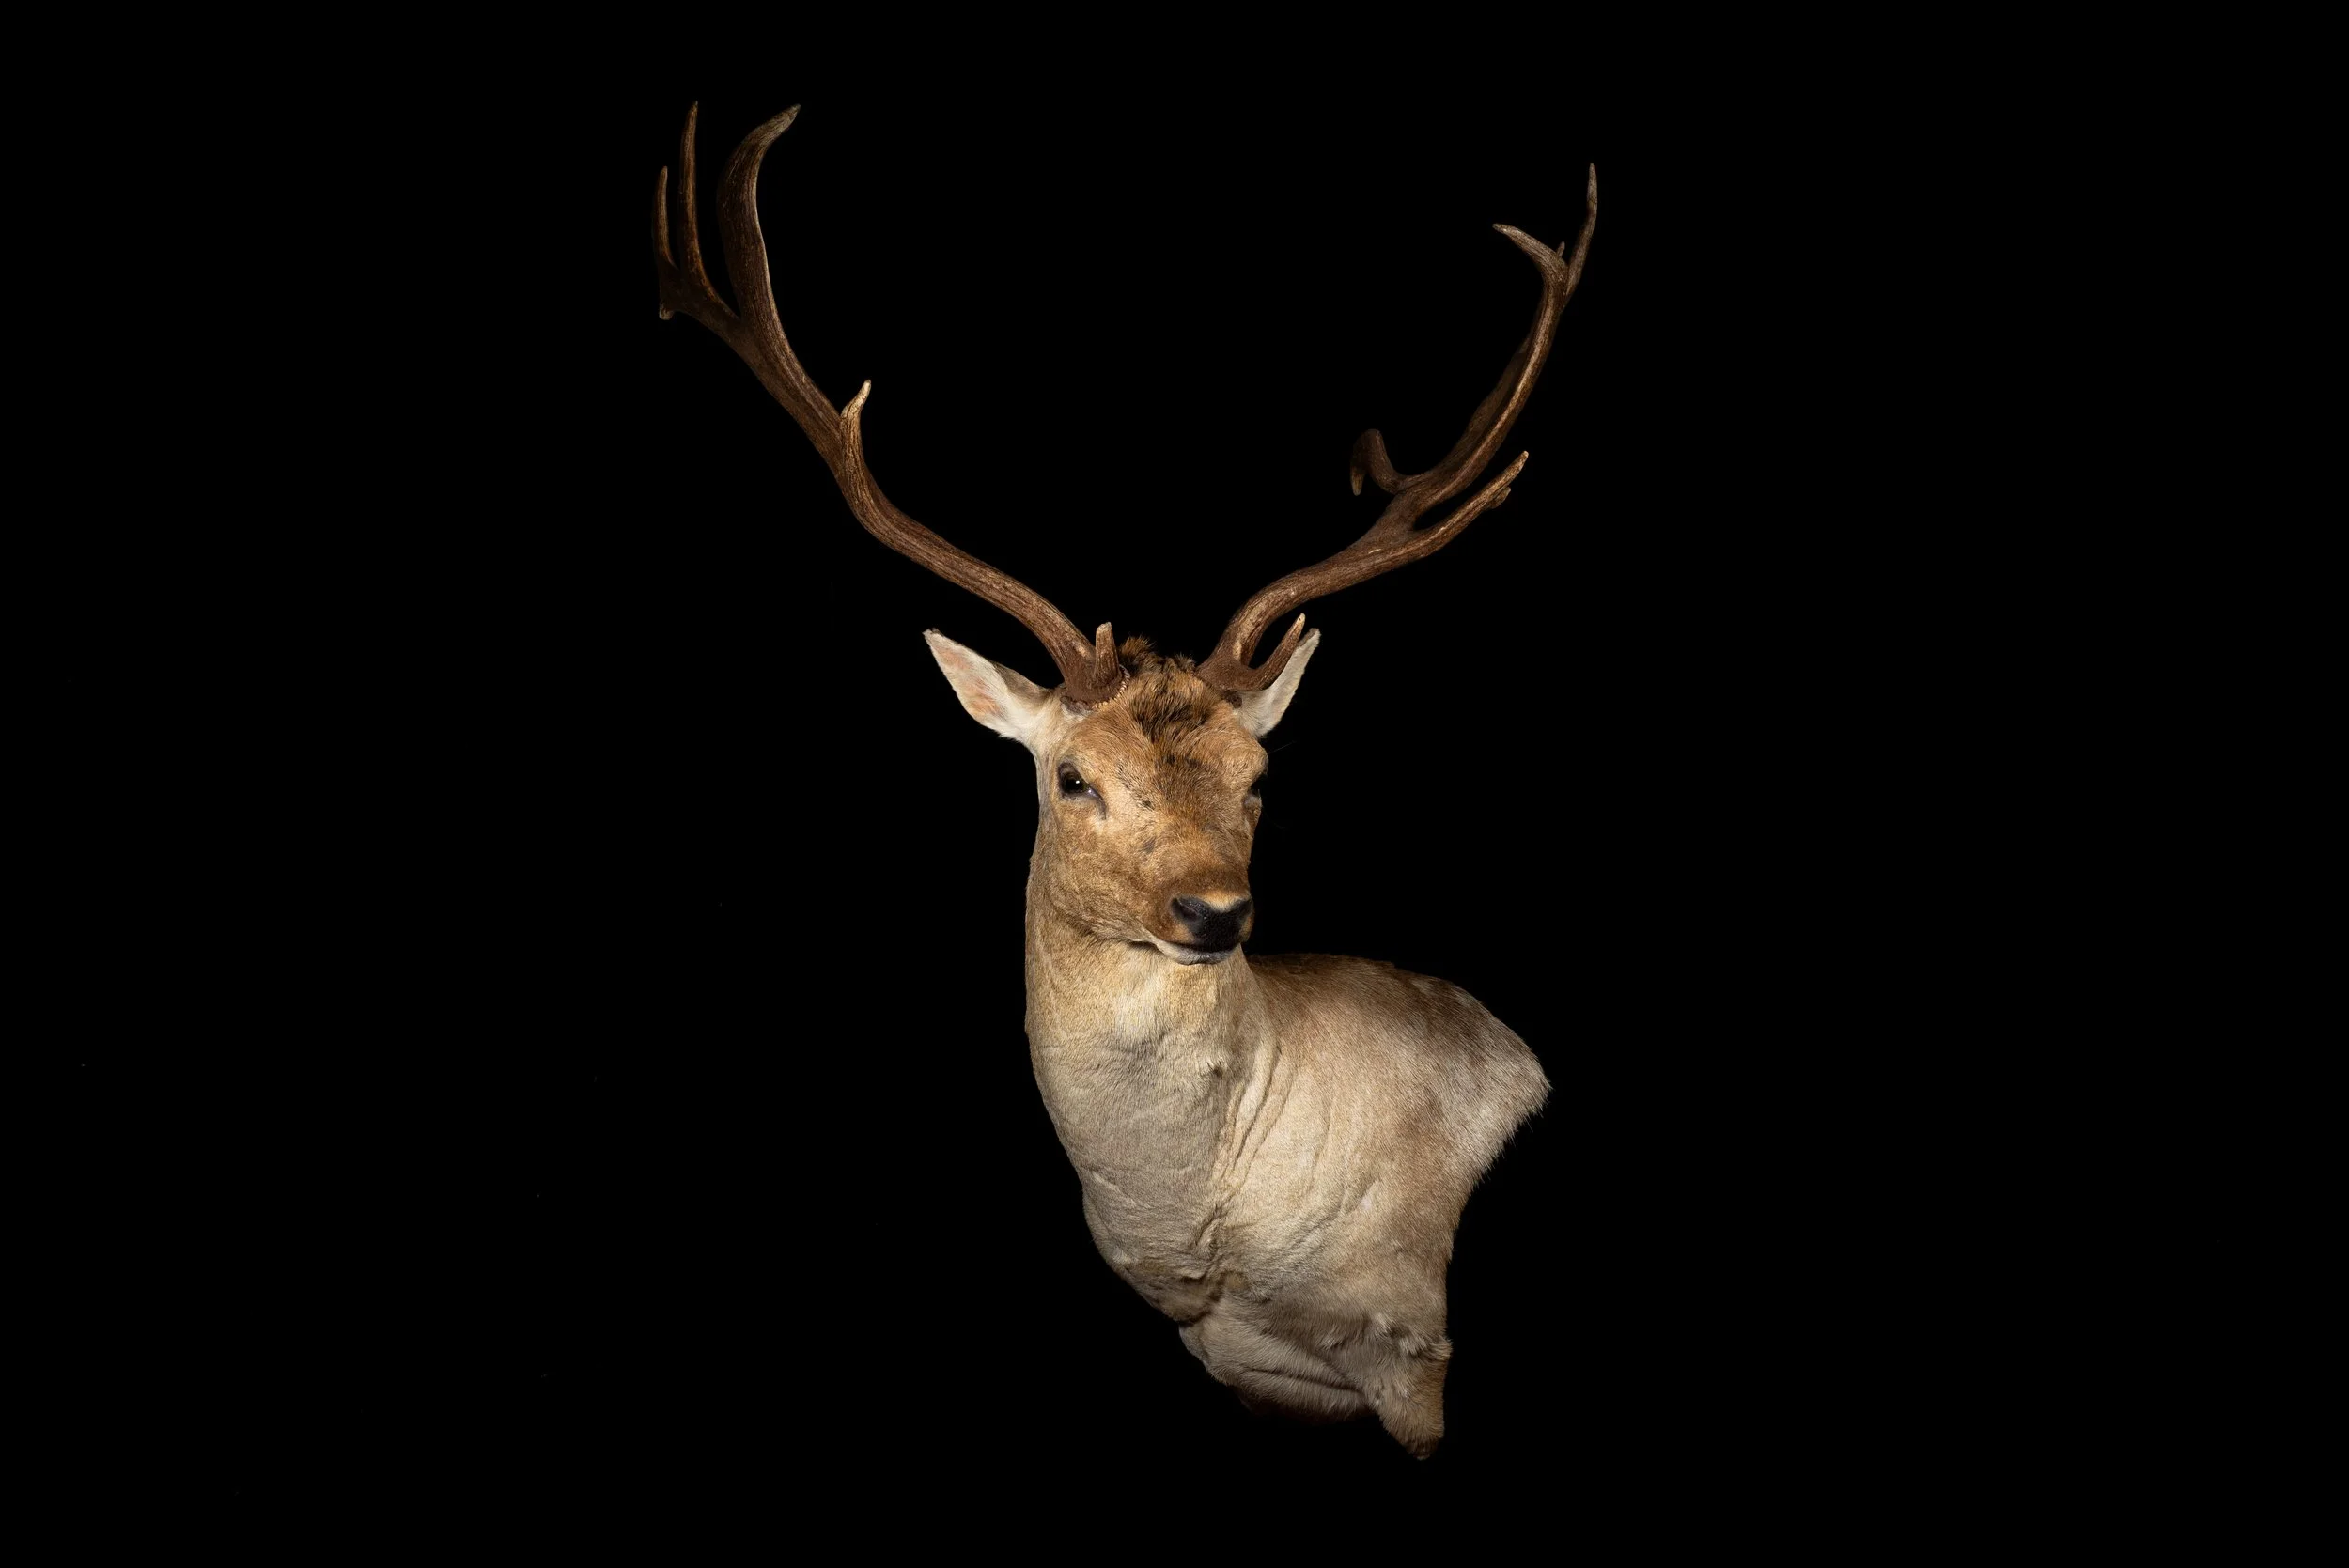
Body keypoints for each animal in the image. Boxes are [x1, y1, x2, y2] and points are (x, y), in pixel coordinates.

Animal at [651, 102, 1593, 1458]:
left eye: (1258, 775)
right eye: (1074, 777)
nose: (1213, 911)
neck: (1231, 1260)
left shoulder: (1418, 1353)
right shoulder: (1248, 1372)